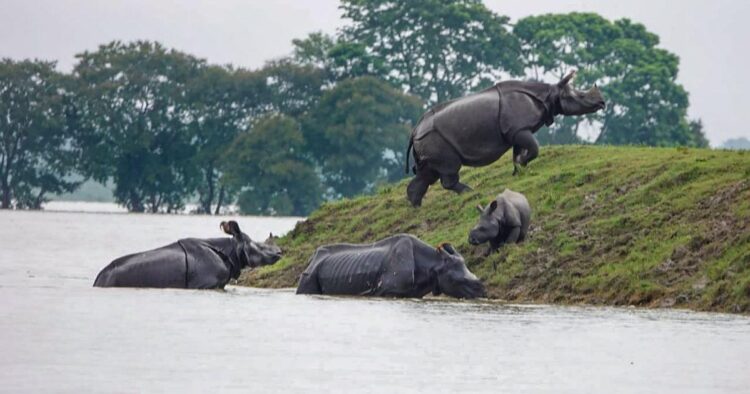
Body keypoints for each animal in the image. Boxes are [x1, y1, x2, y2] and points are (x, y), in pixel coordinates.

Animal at [296, 234, 484, 298]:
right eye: (458, 281)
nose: (482, 291)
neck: (434, 264)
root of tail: (312, 259)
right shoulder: (389, 291)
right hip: (310, 273)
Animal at [408, 71, 608, 206]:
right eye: (581, 96)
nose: (602, 103)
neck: (551, 94)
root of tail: (415, 130)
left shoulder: (516, 131)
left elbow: (518, 152)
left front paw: (519, 170)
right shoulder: (519, 129)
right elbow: (534, 148)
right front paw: (523, 164)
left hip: (428, 140)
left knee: (428, 172)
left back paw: (416, 206)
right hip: (434, 138)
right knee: (448, 168)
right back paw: (471, 193)